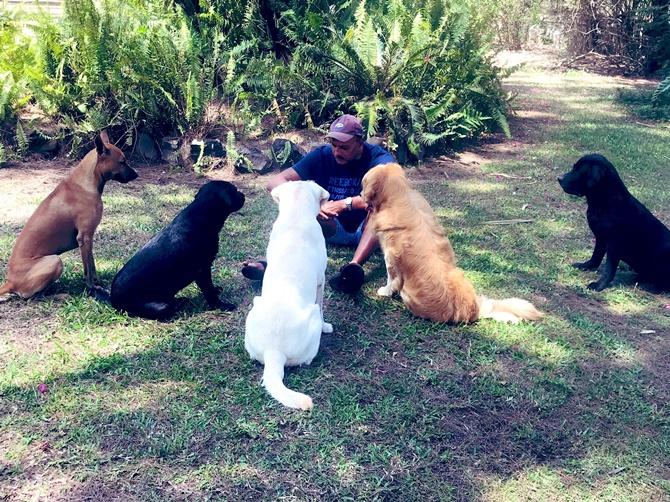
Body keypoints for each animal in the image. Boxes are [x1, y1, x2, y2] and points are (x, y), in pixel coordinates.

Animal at [0, 131, 138, 300]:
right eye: (122, 162)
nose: (137, 174)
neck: (87, 182)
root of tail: (10, 282)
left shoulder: (88, 238)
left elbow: (92, 265)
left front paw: (98, 283)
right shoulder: (84, 238)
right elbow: (88, 270)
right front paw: (92, 289)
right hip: (55, 260)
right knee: (34, 296)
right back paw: (60, 295)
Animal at [111, 182, 245, 320]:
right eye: (234, 190)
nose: (243, 195)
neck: (201, 218)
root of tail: (112, 299)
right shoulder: (202, 270)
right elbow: (209, 291)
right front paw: (221, 305)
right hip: (161, 307)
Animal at [362, 163, 544, 324]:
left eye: (363, 184)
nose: (360, 194)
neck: (400, 195)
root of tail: (473, 310)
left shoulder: (391, 257)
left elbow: (391, 279)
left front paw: (385, 292)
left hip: (409, 295)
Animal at [560, 155, 670, 292]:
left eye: (578, 170)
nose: (559, 178)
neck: (604, 202)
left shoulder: (615, 244)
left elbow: (609, 268)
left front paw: (599, 285)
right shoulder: (600, 238)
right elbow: (596, 256)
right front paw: (586, 266)